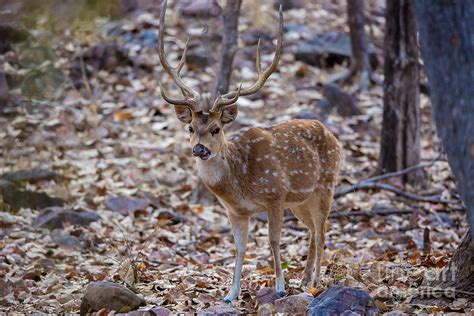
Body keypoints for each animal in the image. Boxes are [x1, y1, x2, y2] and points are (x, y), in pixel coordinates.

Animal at [159, 0, 340, 302]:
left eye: (216, 129)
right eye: (191, 128)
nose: (199, 149)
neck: (240, 180)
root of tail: (332, 134)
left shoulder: (276, 196)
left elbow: (274, 240)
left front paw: (279, 287)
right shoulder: (236, 211)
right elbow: (240, 248)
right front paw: (231, 293)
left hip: (326, 184)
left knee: (323, 231)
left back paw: (314, 281)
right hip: (301, 200)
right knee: (313, 230)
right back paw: (305, 280)